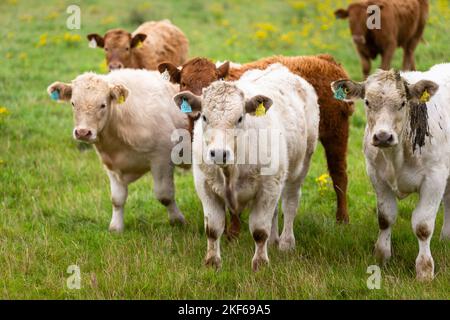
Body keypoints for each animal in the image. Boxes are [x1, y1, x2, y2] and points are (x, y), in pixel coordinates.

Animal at [45, 69, 186, 231]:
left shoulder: (162, 156)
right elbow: (117, 199)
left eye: (103, 105)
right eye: (73, 103)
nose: (82, 132)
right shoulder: (111, 164)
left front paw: (177, 220)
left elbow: (165, 195)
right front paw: (116, 227)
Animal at [159, 54, 356, 238]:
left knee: (339, 175)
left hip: (336, 132)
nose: (197, 112)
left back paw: (342, 219)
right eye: (184, 82)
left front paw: (233, 233)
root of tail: (323, 59)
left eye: (211, 82)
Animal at [173, 64, 320, 270]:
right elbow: (213, 229)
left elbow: (259, 230)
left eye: (240, 118)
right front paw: (212, 262)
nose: (219, 153)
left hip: (300, 167)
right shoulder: (205, 187)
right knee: (275, 211)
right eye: (204, 117)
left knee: (290, 204)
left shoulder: (268, 187)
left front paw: (260, 263)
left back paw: (286, 243)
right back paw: (273, 241)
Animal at [330, 64, 450, 280]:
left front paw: (424, 270)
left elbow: (423, 226)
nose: (383, 136)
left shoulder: (434, 179)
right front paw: (382, 257)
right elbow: (386, 218)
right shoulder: (377, 176)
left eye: (402, 103)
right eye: (367, 102)